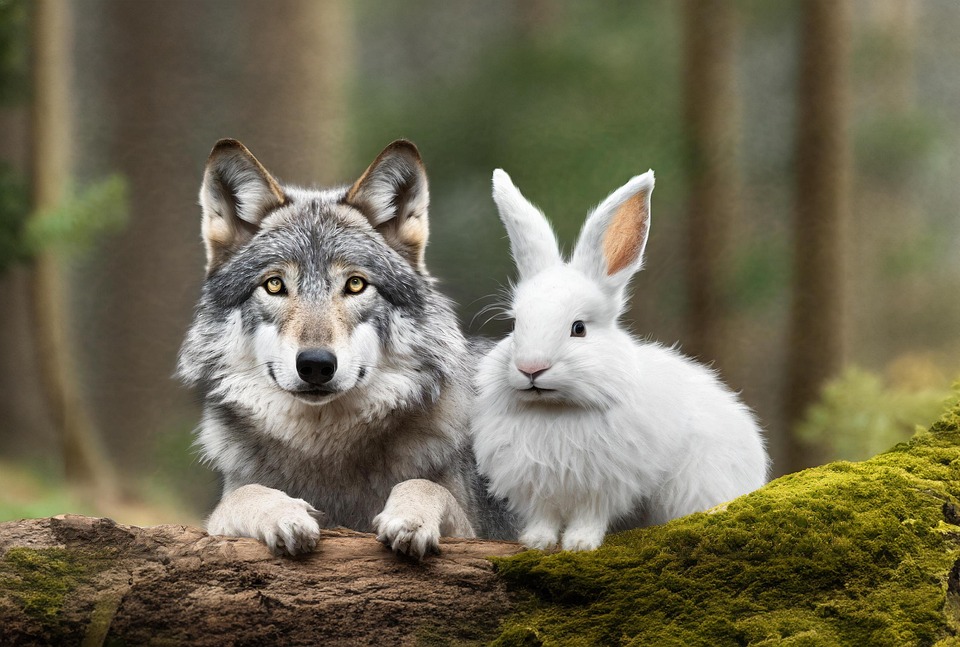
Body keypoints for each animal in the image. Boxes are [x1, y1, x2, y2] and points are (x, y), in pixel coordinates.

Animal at [178, 139, 513, 558]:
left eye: (355, 284)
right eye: (274, 285)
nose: (316, 365)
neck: (324, 447)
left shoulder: (476, 533)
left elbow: (426, 486)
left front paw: (410, 518)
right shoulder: (221, 513)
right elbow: (242, 496)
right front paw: (284, 515)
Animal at [472, 168, 771, 552]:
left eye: (579, 328)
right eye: (515, 324)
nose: (531, 368)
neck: (554, 411)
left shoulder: (604, 485)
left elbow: (590, 516)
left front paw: (579, 544)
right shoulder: (540, 489)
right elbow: (545, 517)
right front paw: (537, 542)